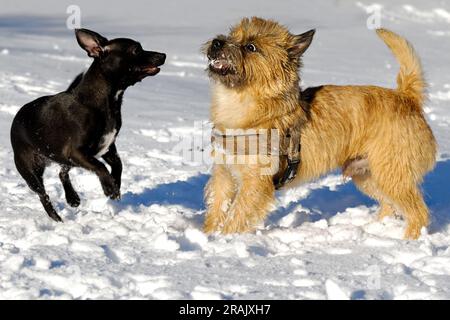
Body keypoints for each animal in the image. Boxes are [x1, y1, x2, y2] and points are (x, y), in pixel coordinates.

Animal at [10, 28, 165, 221]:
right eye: (136, 50)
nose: (163, 55)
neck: (104, 101)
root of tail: (17, 116)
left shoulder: (107, 148)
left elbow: (118, 165)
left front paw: (115, 186)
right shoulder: (77, 152)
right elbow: (100, 167)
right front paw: (110, 188)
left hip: (62, 158)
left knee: (62, 173)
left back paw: (73, 198)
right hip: (30, 169)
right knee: (43, 194)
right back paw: (56, 218)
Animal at [203, 16, 436, 239]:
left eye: (250, 47)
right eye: (232, 34)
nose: (217, 42)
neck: (239, 105)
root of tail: (407, 97)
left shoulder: (255, 184)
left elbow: (236, 215)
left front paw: (224, 240)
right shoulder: (223, 174)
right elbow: (217, 208)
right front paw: (209, 234)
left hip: (392, 175)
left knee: (418, 212)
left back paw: (407, 240)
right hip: (368, 176)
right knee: (390, 206)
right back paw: (375, 229)